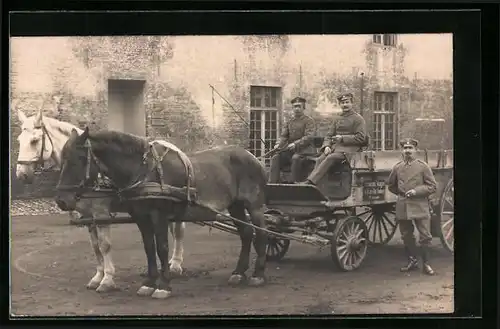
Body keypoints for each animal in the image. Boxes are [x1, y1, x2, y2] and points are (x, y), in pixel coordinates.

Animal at [14, 100, 186, 292]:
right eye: (19, 140)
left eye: (34, 140)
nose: (21, 174)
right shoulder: (88, 216)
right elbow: (95, 247)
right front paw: (98, 276)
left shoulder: (101, 213)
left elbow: (105, 246)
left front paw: (107, 279)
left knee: (178, 231)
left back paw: (176, 264)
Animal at [54, 127, 270, 298]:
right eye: (62, 160)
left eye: (79, 159)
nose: (61, 200)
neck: (144, 171)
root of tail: (253, 157)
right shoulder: (140, 217)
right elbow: (148, 248)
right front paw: (148, 283)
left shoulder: (157, 215)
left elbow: (161, 247)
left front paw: (163, 285)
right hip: (236, 205)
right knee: (246, 234)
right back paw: (239, 272)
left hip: (254, 205)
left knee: (261, 233)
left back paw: (258, 274)